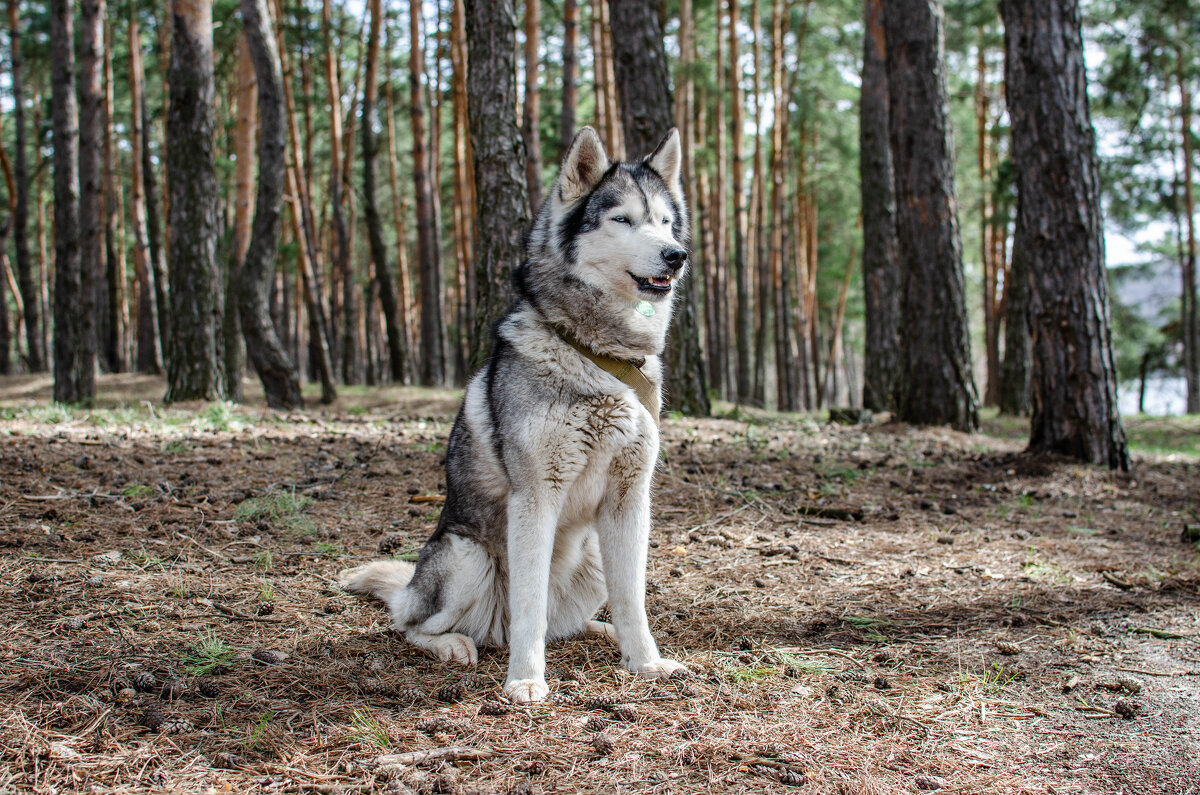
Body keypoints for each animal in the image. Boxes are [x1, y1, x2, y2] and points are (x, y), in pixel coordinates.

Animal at [343, 124, 691, 706]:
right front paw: (526, 680)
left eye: (665, 221)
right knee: (412, 624)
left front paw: (646, 662)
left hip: (593, 557)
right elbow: (530, 605)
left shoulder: (630, 498)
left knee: (567, 621)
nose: (676, 255)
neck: (595, 350)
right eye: (622, 219)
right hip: (466, 556)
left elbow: (634, 599)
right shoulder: (535, 497)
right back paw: (454, 644)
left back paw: (600, 631)